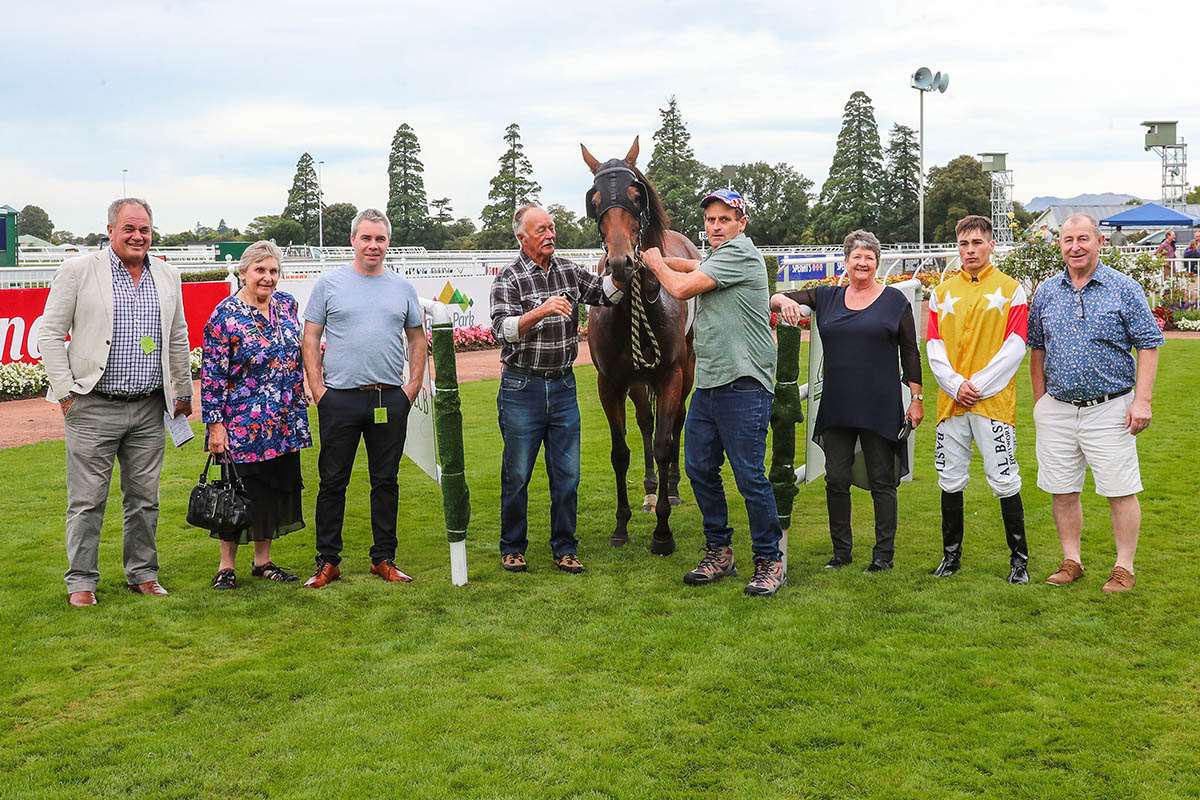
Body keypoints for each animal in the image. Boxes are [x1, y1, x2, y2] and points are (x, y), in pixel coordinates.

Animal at [578, 137, 700, 554]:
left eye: (635, 195)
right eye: (596, 199)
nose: (621, 263)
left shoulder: (669, 374)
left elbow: (665, 442)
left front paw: (663, 532)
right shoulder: (611, 382)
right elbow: (620, 452)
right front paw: (622, 524)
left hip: (687, 368)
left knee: (675, 423)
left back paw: (671, 489)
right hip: (635, 379)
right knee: (646, 422)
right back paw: (649, 488)